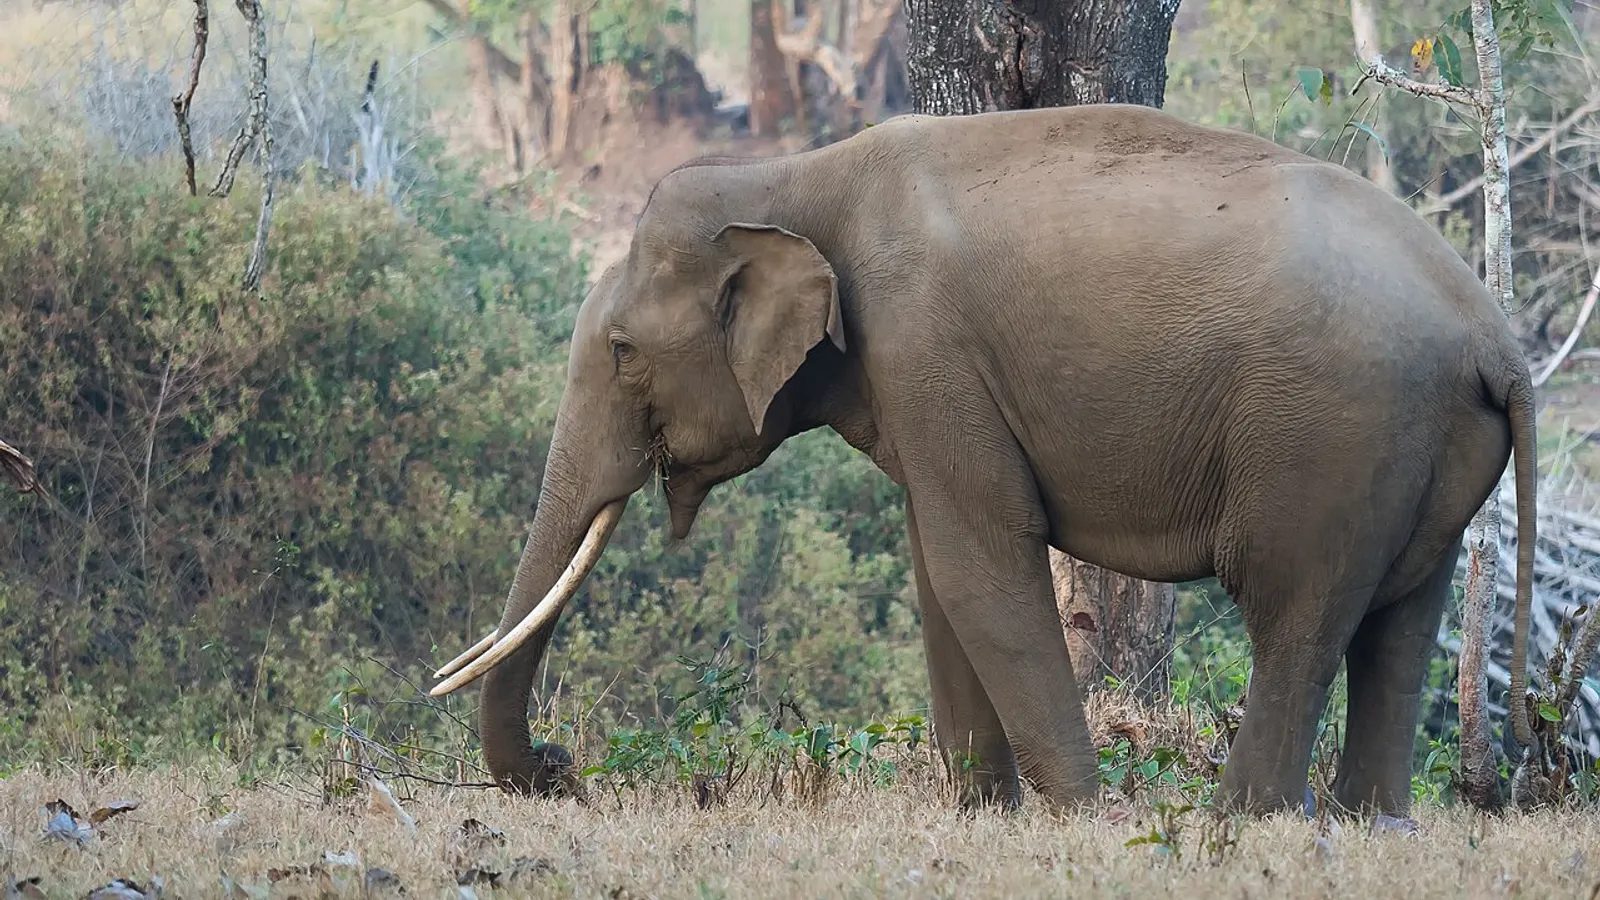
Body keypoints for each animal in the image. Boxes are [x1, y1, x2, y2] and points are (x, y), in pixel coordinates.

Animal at [430, 102, 1537, 818]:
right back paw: (1369, 822)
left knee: (1295, 618)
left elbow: (980, 568)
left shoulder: (924, 345)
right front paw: (982, 814)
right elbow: (938, 571)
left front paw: (1080, 819)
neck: (796, 175)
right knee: (1399, 624)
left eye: (620, 351)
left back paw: (1244, 824)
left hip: (1332, 438)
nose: (562, 769)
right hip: (1418, 450)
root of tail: (1497, 339)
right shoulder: (913, 380)